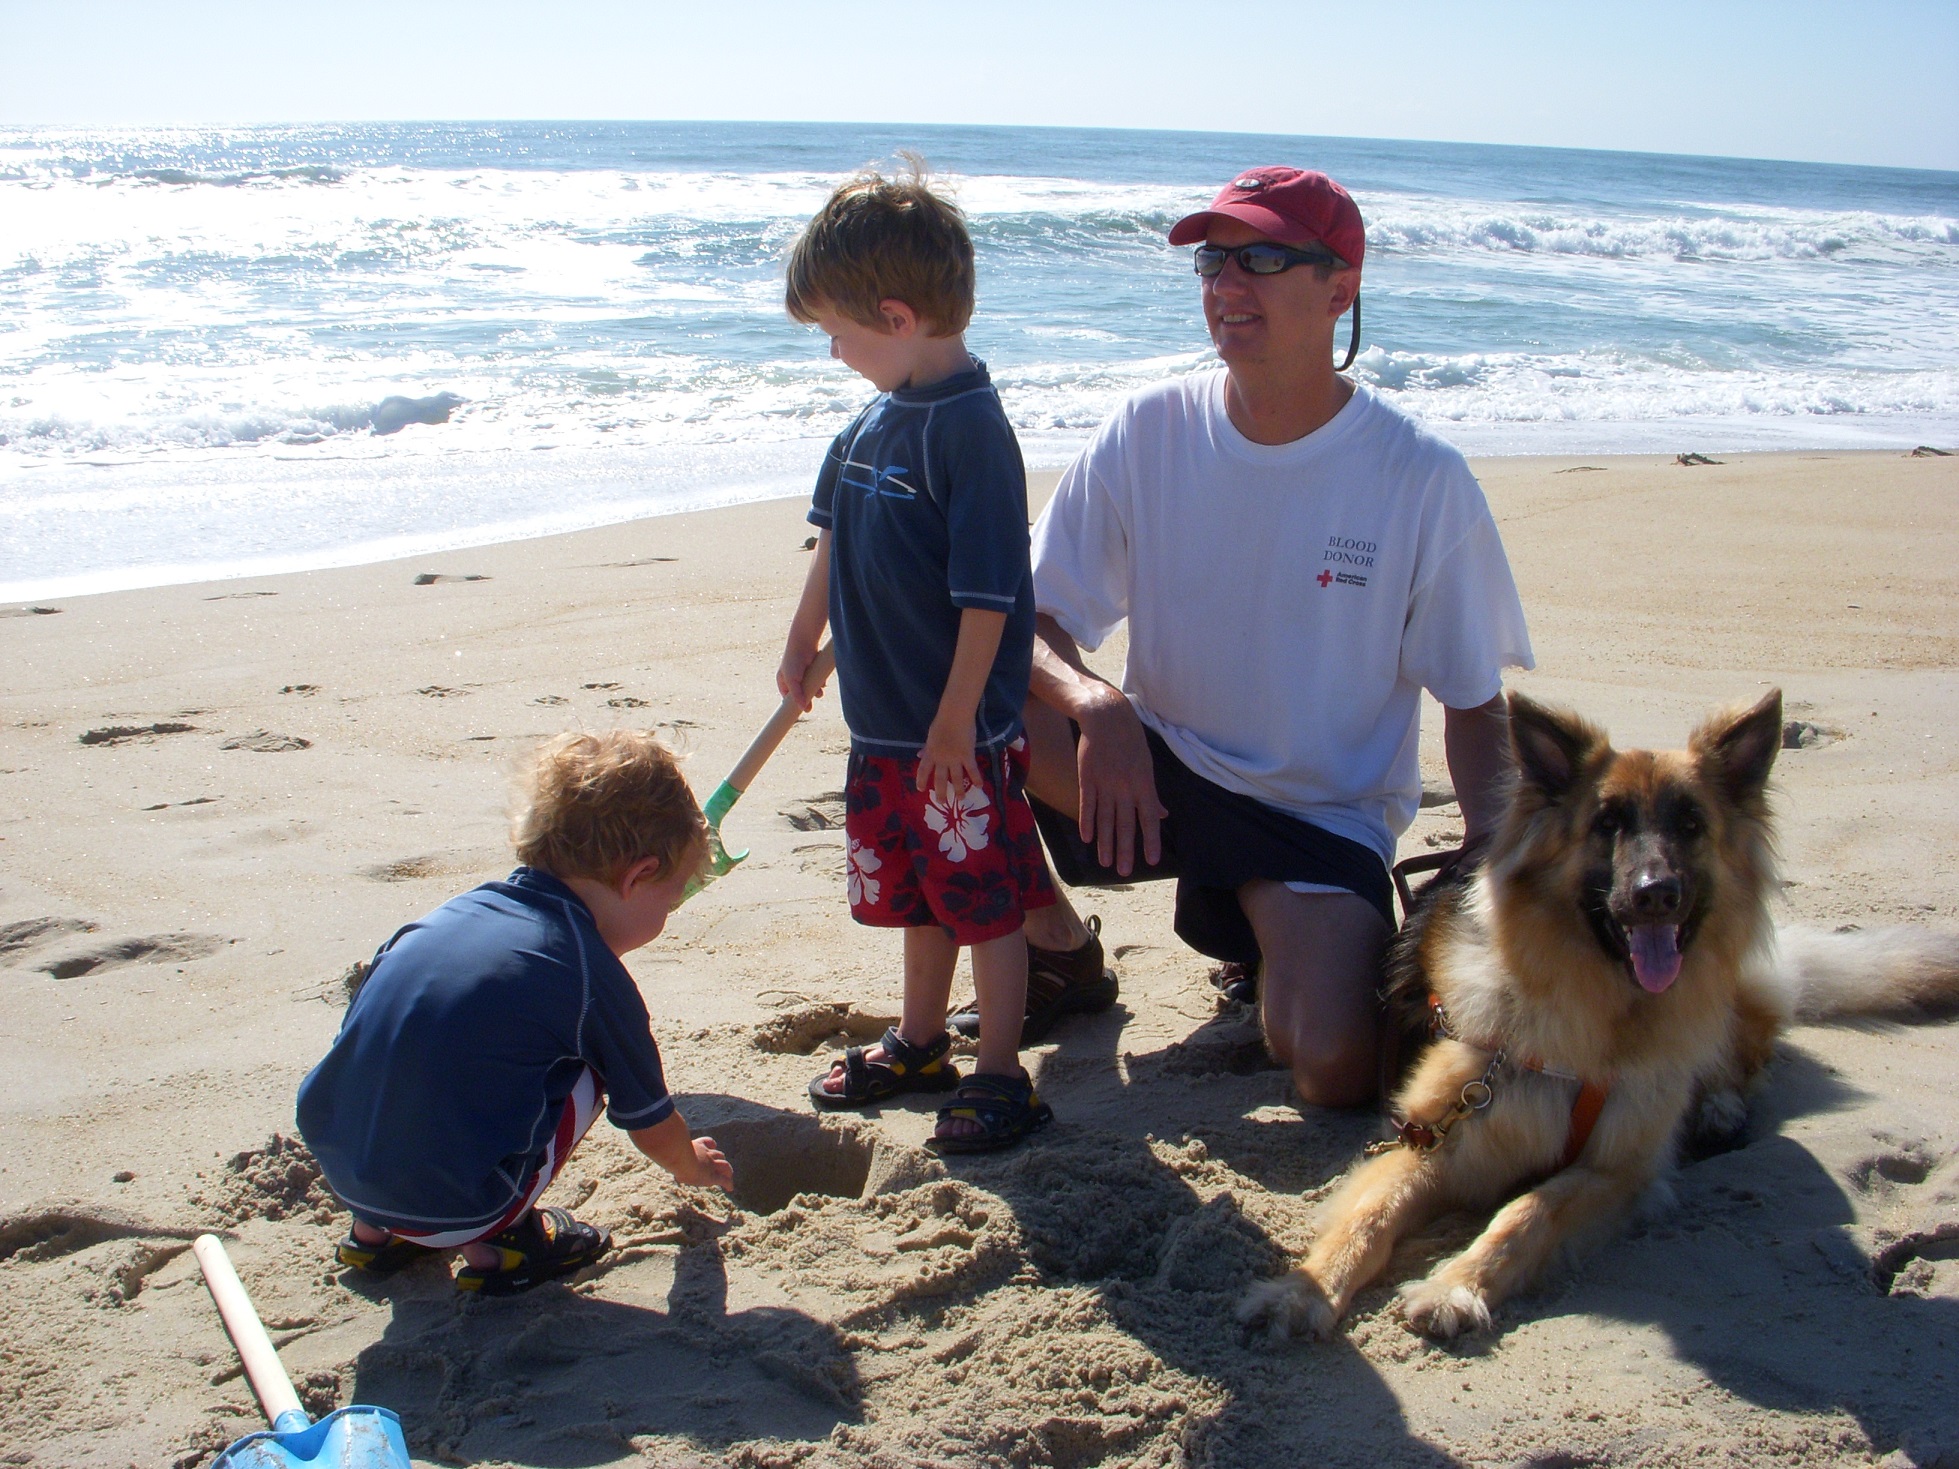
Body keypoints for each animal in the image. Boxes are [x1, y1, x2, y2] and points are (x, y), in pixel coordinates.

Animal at [1239, 688, 1959, 1342]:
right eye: (1607, 823)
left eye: (1690, 824)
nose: (1654, 894)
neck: (1598, 1012)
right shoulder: (1435, 1140)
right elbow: (1368, 1216)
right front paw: (1301, 1291)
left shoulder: (1618, 1172)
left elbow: (1527, 1211)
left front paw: (1453, 1285)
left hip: (1727, 996)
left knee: (1746, 1052)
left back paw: (1718, 1105)